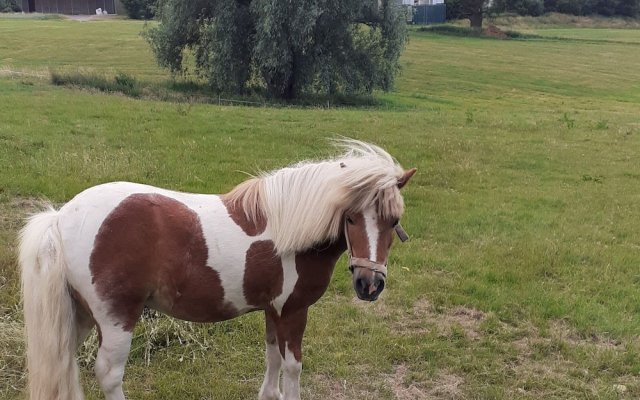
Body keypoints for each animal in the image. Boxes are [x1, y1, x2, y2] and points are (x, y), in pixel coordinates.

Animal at [18, 140, 416, 400]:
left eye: (394, 220)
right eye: (350, 218)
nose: (369, 285)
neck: (291, 228)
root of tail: (60, 217)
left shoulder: (273, 310)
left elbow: (271, 356)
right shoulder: (293, 311)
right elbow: (292, 367)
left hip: (80, 315)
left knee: (66, 361)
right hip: (116, 319)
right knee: (109, 374)